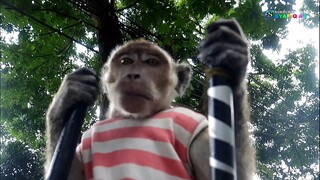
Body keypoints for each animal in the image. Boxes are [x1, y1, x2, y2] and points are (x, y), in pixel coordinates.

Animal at [44, 19, 255, 179]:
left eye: (151, 62)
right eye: (126, 61)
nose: (133, 74)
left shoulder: (193, 125)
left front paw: (232, 58)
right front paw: (67, 96)